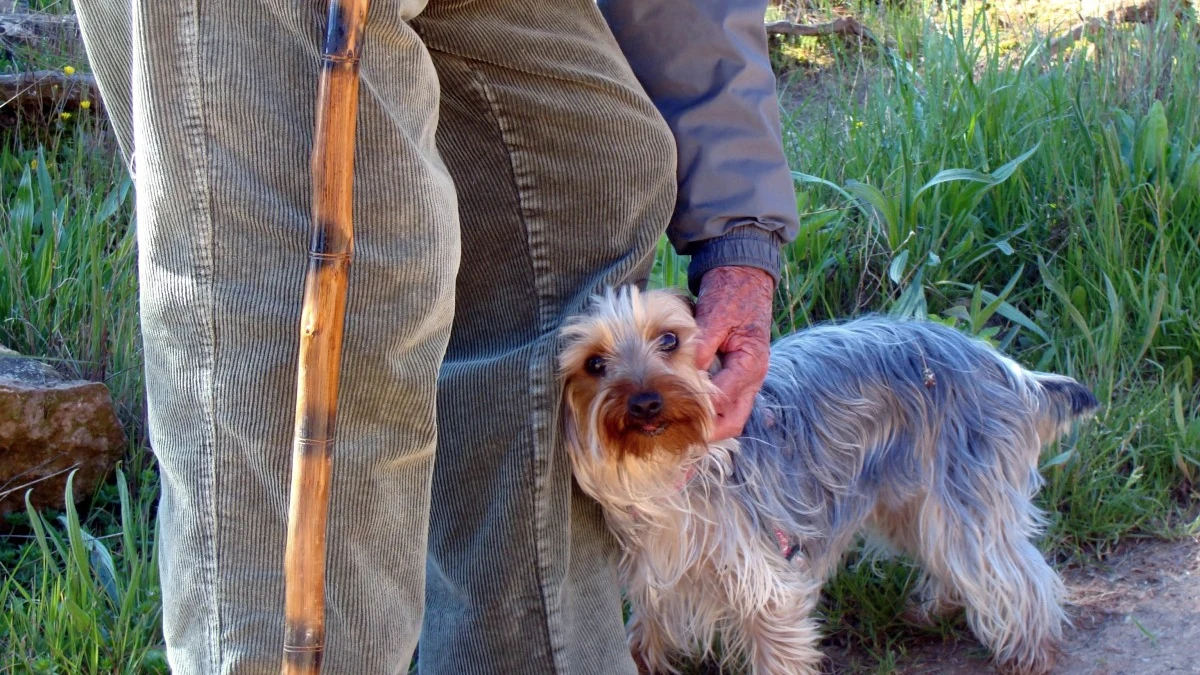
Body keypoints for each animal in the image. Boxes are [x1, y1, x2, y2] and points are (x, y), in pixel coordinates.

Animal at [552, 284, 1099, 672]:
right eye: (594, 364)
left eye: (669, 339)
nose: (646, 402)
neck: (665, 467)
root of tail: (1006, 369)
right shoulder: (655, 573)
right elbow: (644, 631)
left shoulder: (766, 581)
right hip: (908, 496)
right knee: (948, 552)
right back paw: (933, 608)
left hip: (965, 486)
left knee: (1009, 567)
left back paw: (1030, 651)